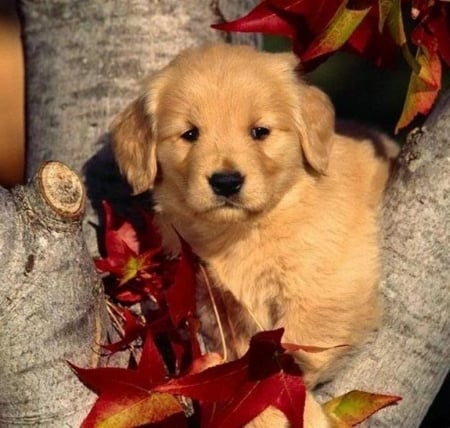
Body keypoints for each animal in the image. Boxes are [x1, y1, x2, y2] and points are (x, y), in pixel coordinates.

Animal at [110, 43, 400, 424]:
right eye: (190, 134)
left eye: (260, 131)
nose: (226, 182)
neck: (246, 230)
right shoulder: (215, 303)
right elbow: (241, 363)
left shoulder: (327, 283)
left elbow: (287, 355)